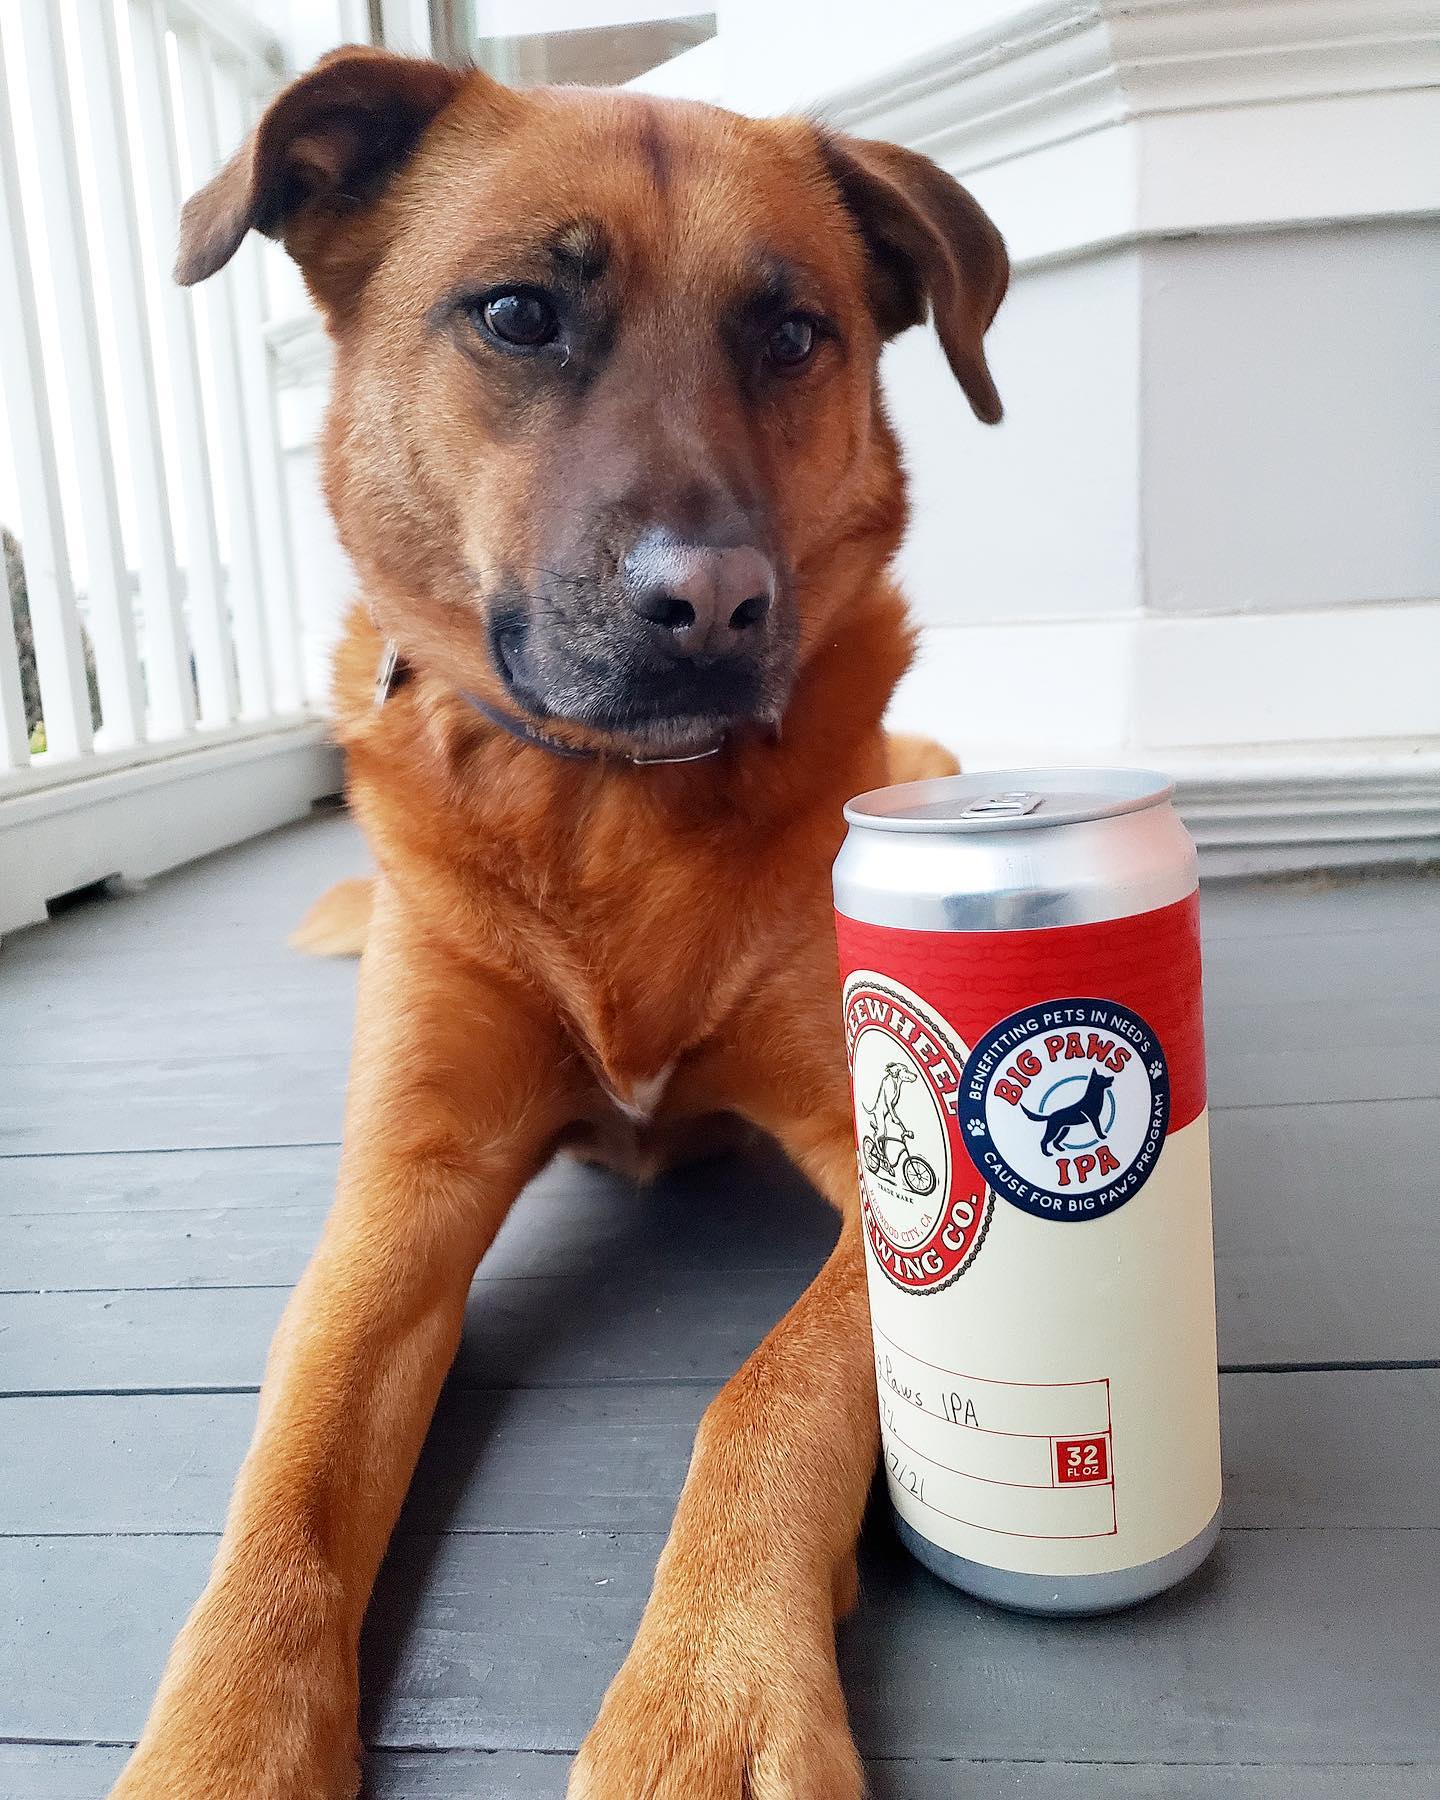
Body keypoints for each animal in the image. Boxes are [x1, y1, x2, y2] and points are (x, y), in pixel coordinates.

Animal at [115, 45, 1000, 1800]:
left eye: (793, 333)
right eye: (520, 314)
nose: (715, 603)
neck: (609, 814)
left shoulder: (879, 1162)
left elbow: (770, 1397)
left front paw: (707, 1700)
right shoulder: (405, 1188)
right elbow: (290, 1476)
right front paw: (221, 1744)